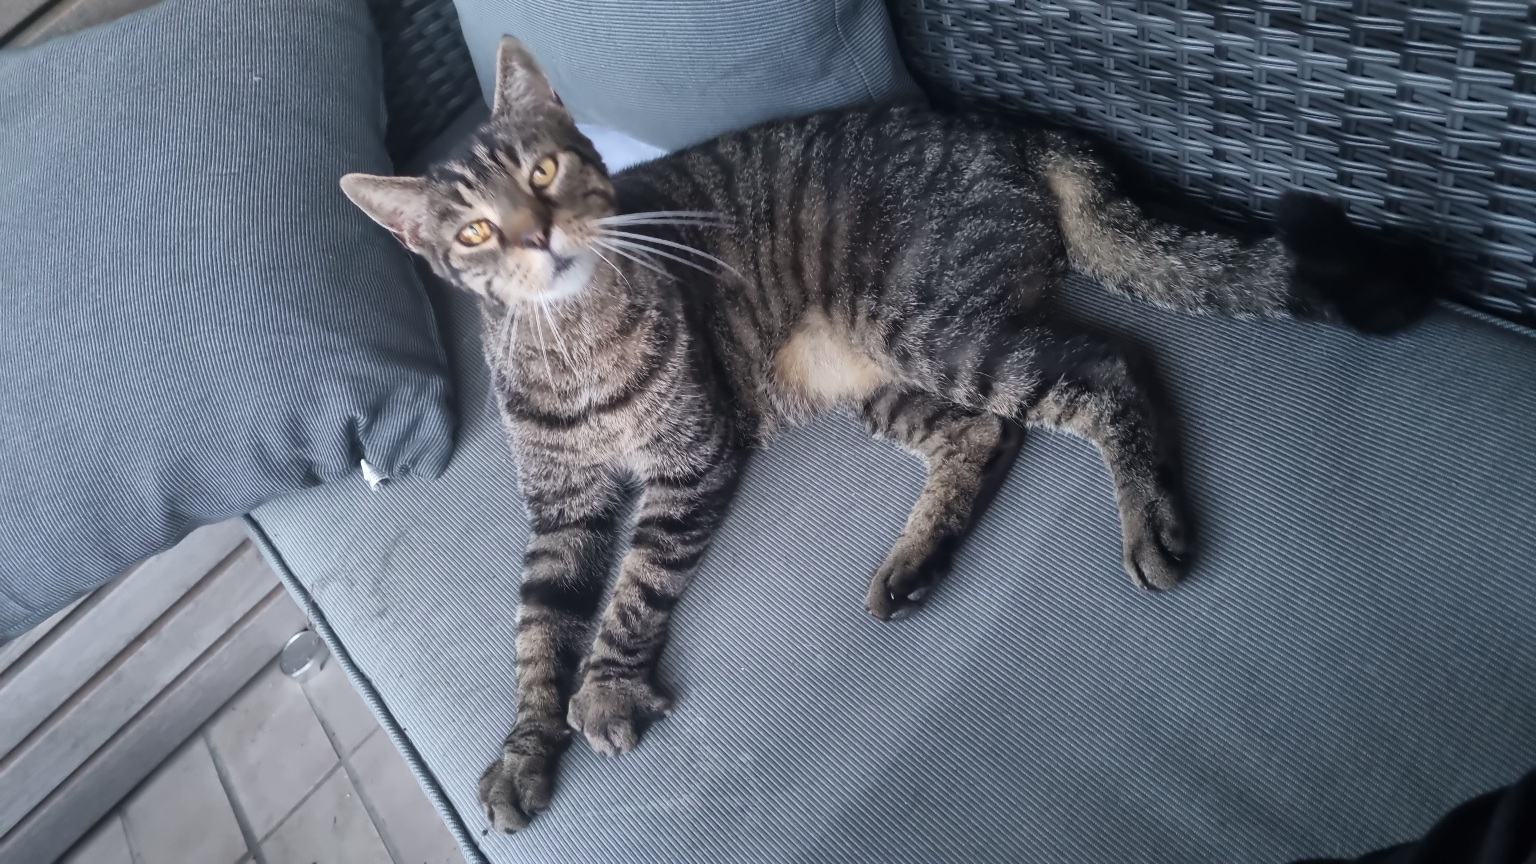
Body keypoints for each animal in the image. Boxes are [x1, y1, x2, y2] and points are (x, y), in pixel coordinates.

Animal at [340, 37, 1438, 833]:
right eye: (473, 232)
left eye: (546, 168)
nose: (536, 235)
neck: (568, 342)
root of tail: (1006, 128)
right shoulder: (563, 512)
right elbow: (536, 627)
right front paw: (524, 749)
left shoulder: (691, 461)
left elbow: (633, 589)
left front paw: (605, 689)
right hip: (885, 376)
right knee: (986, 437)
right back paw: (916, 564)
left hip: (933, 329)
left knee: (1107, 373)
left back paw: (1149, 524)